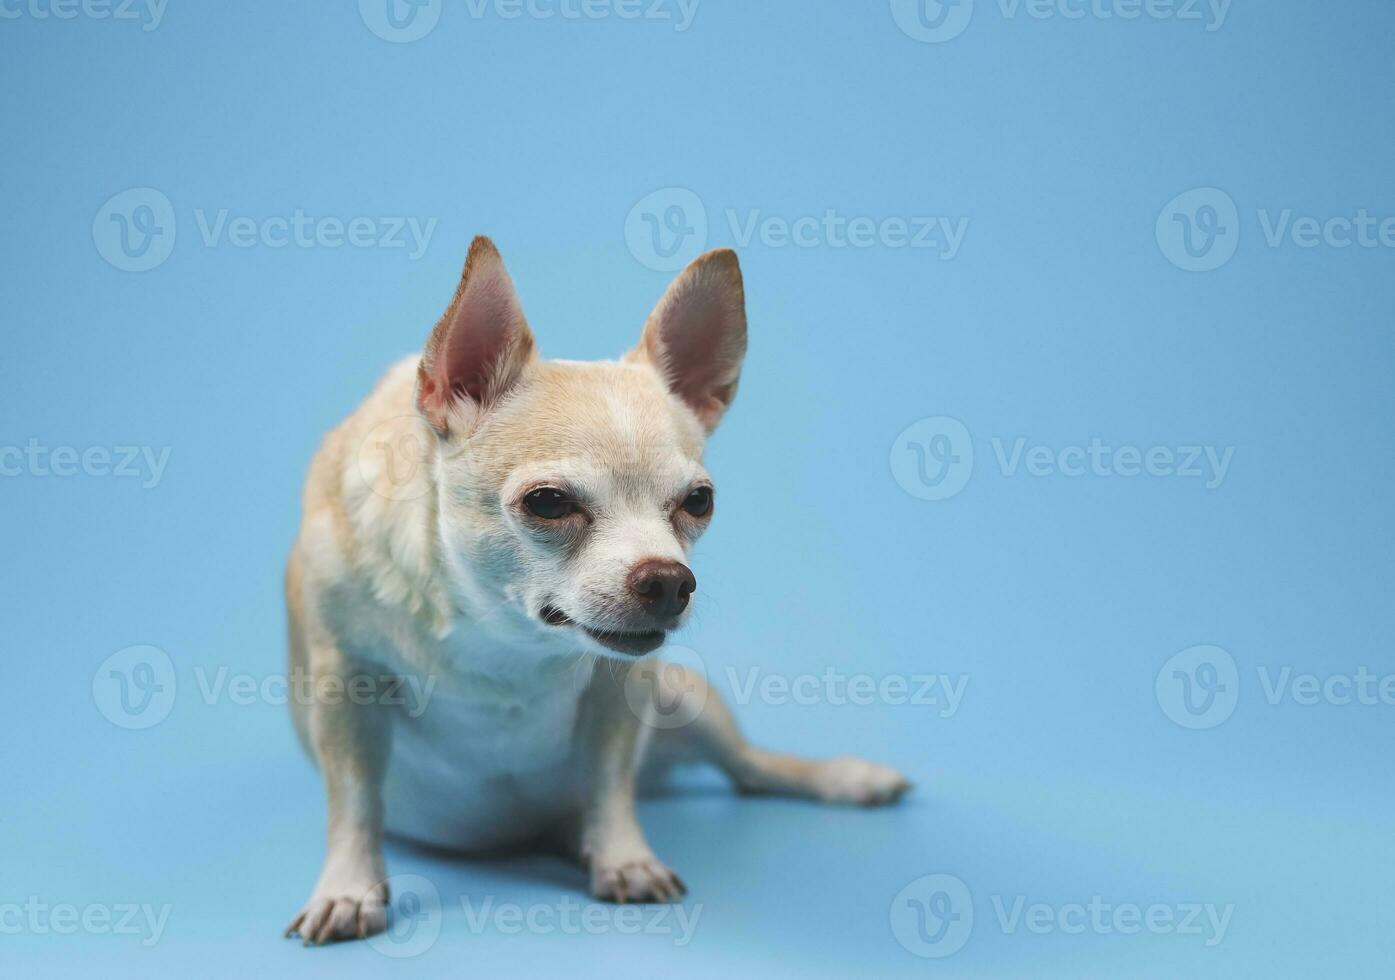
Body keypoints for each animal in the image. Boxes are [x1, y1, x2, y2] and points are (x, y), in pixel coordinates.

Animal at [285, 236, 915, 942]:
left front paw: (624, 858)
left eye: (699, 502)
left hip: (689, 700)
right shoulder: (345, 688)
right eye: (549, 503)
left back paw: (845, 778)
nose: (669, 579)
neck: (499, 633)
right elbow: (355, 801)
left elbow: (609, 785)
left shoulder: (621, 691)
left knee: (750, 769)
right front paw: (348, 887)